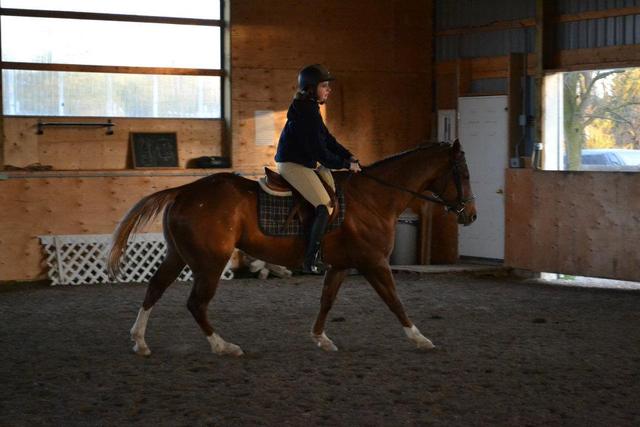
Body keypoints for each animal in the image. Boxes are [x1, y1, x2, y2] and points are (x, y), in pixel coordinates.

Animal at [107, 140, 477, 356]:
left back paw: (140, 341)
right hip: (210, 263)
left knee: (155, 289)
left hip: (179, 255)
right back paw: (223, 346)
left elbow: (327, 301)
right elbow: (395, 301)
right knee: (196, 303)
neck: (375, 197)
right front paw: (419, 338)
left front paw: (321, 339)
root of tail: (183, 192)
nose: (470, 215)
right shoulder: (374, 263)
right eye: (463, 173)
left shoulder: (341, 265)